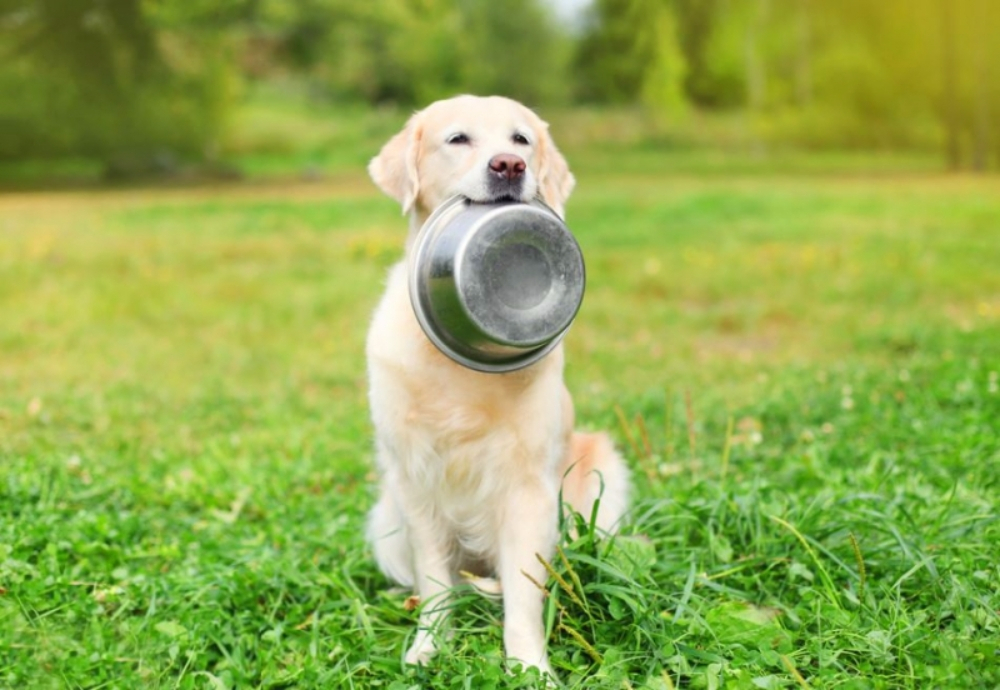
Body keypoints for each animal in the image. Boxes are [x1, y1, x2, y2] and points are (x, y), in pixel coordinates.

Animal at [364, 94, 628, 676]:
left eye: (521, 139)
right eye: (458, 138)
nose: (510, 166)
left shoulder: (528, 488)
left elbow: (525, 595)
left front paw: (530, 667)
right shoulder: (416, 479)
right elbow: (435, 580)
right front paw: (429, 645)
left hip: (602, 474)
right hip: (386, 517)